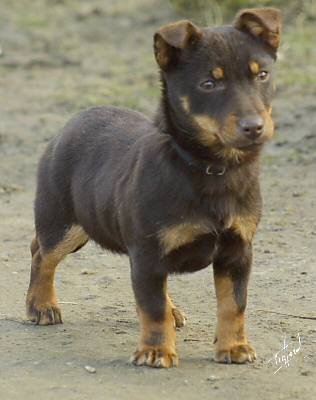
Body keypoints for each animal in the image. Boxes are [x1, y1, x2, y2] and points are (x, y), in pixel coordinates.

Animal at [25, 7, 280, 368]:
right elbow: (153, 307)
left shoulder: (237, 250)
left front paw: (233, 347)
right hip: (64, 223)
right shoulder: (148, 250)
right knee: (41, 253)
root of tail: (71, 122)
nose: (254, 127)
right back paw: (41, 305)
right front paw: (156, 351)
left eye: (263, 75)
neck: (210, 168)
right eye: (208, 84)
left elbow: (234, 303)